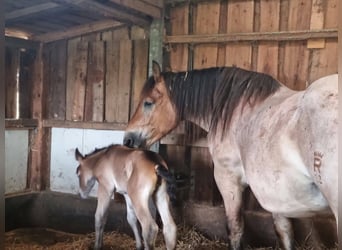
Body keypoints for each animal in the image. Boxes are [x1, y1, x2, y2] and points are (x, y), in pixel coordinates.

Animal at [124, 61, 338, 250]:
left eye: (148, 103)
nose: (127, 140)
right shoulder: (276, 194)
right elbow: (284, 232)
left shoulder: (228, 180)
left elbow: (235, 229)